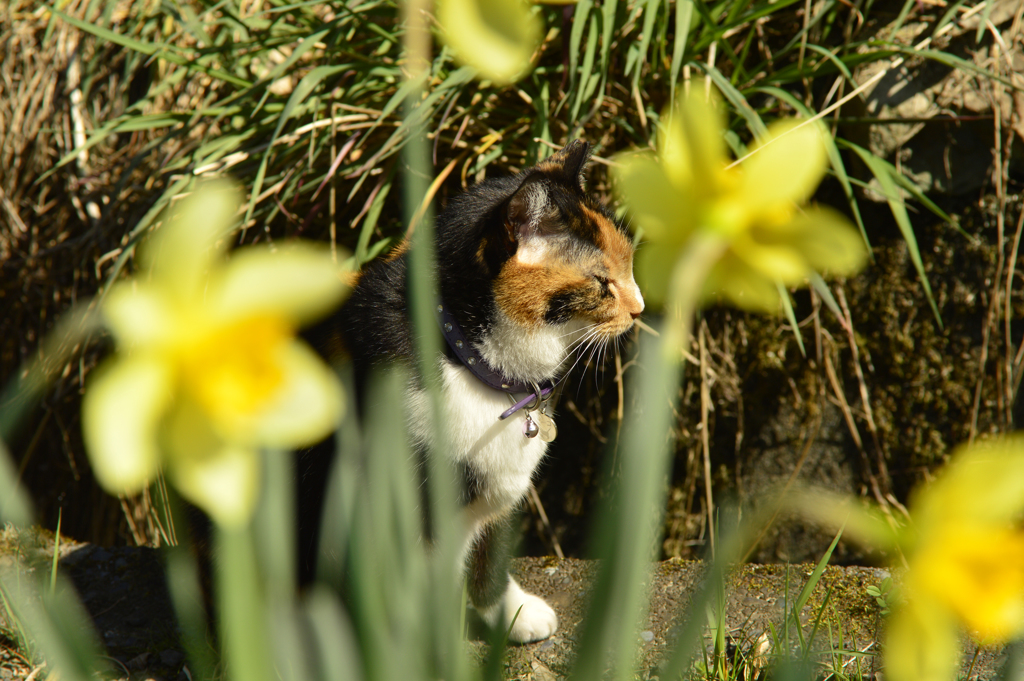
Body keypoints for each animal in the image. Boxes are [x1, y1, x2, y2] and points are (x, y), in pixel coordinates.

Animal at [305, 139, 638, 643]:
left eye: (629, 264)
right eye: (601, 283)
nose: (639, 309)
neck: (471, 363)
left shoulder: (499, 495)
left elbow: (490, 558)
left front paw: (513, 614)